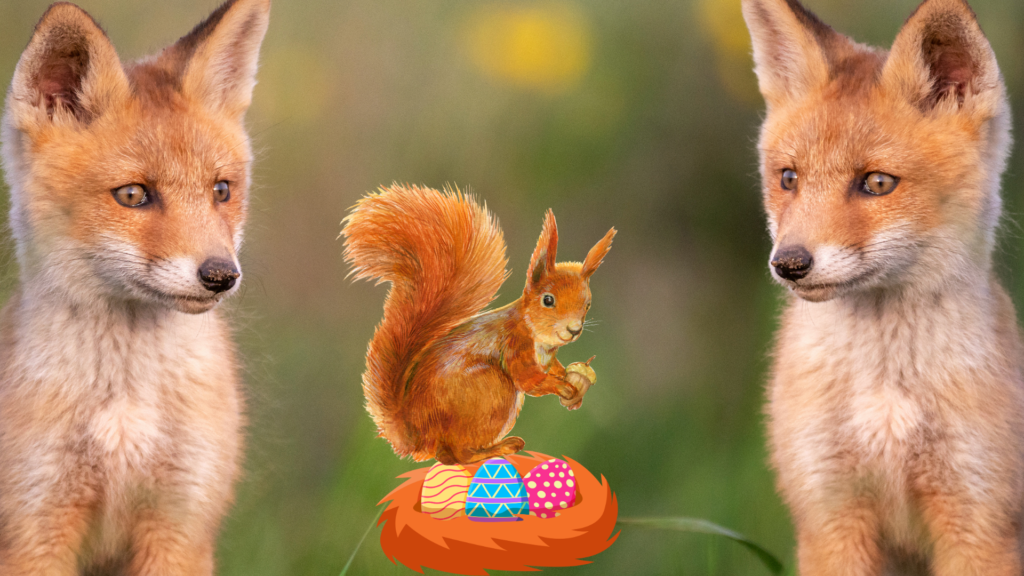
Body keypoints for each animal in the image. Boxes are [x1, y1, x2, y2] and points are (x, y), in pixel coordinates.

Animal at [0, 0, 269, 574]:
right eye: (132, 195)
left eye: (221, 190)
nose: (221, 275)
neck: (125, 409)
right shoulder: (33, 528)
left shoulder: (181, 523)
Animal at [741, 0, 1021, 574]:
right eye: (788, 178)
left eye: (876, 183)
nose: (789, 263)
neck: (885, 396)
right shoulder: (829, 514)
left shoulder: (981, 519)